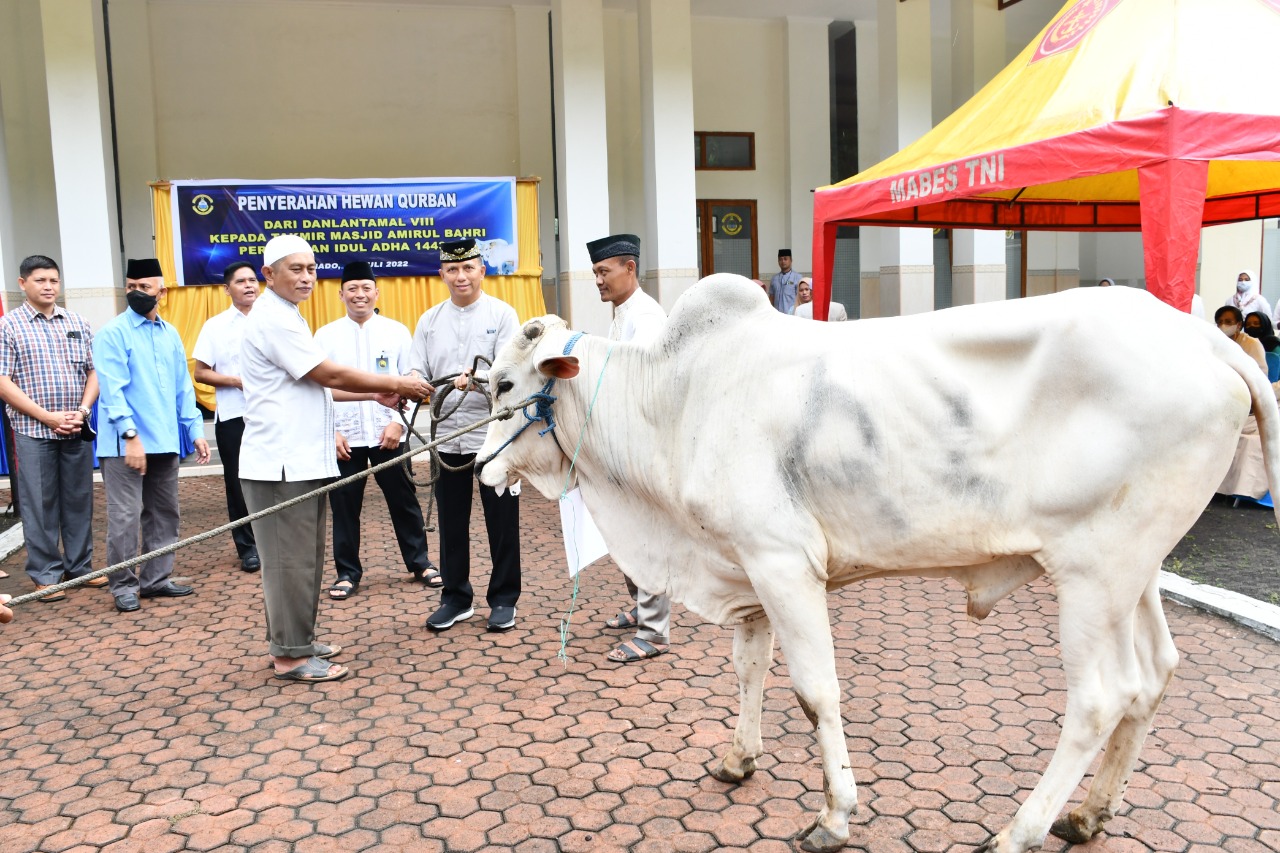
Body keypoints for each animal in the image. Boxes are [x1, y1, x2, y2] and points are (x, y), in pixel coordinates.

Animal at [473, 275, 1280, 845]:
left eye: (506, 384)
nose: (476, 467)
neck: (674, 402)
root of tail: (1206, 343)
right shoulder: (747, 566)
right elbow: (749, 669)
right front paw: (738, 760)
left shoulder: (783, 562)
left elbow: (815, 691)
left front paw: (834, 816)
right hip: (1136, 572)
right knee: (1156, 673)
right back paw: (1087, 815)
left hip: (1094, 574)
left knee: (1101, 697)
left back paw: (1017, 831)